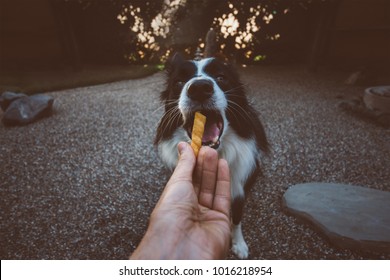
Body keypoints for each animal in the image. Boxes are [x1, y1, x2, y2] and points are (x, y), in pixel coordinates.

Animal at [155, 53, 268, 260]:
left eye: (221, 77)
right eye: (179, 82)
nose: (199, 88)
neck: (219, 153)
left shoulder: (239, 188)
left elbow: (237, 218)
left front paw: (239, 244)